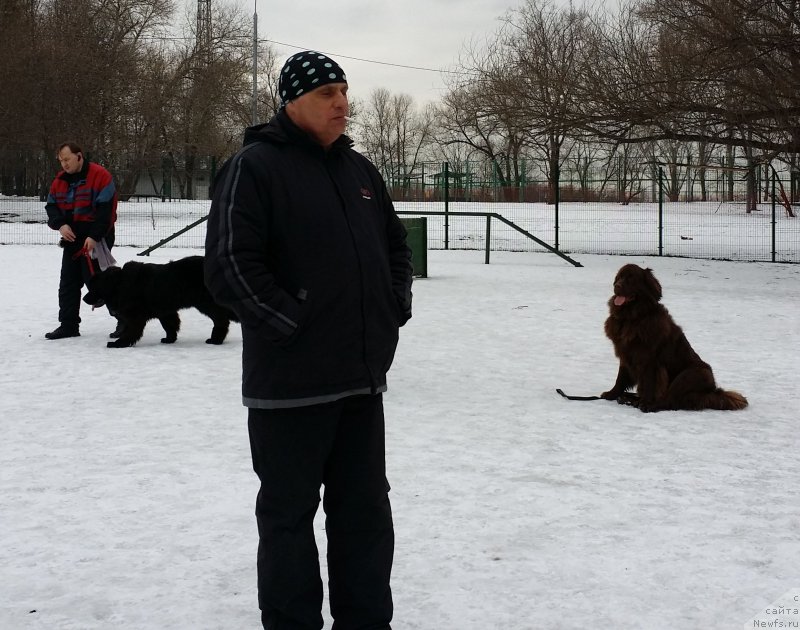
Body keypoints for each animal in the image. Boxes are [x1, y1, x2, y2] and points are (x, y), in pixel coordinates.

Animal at [86, 254, 241, 348]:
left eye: (93, 288)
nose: (84, 298)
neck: (119, 283)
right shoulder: (165, 312)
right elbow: (170, 326)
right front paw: (169, 339)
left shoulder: (136, 315)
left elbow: (131, 330)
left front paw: (119, 343)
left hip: (206, 304)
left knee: (222, 320)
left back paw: (215, 340)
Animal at [604, 262, 748, 414]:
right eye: (619, 277)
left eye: (631, 278)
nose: (617, 286)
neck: (631, 319)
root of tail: (712, 391)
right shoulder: (625, 354)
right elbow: (620, 378)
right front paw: (612, 394)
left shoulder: (650, 360)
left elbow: (649, 383)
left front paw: (646, 403)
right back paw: (628, 398)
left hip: (692, 374)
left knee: (670, 400)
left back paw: (646, 404)